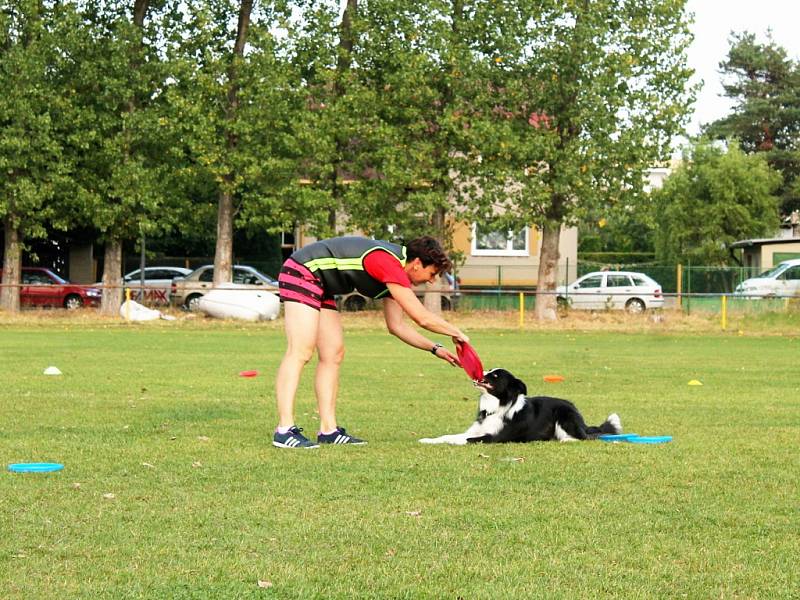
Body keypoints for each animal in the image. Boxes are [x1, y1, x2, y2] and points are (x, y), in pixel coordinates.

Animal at [418, 366, 624, 446]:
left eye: (495, 375)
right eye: (489, 370)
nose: (479, 371)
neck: (494, 409)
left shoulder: (493, 438)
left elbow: (463, 440)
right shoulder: (477, 431)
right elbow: (449, 436)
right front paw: (428, 440)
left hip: (564, 415)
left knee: (583, 438)